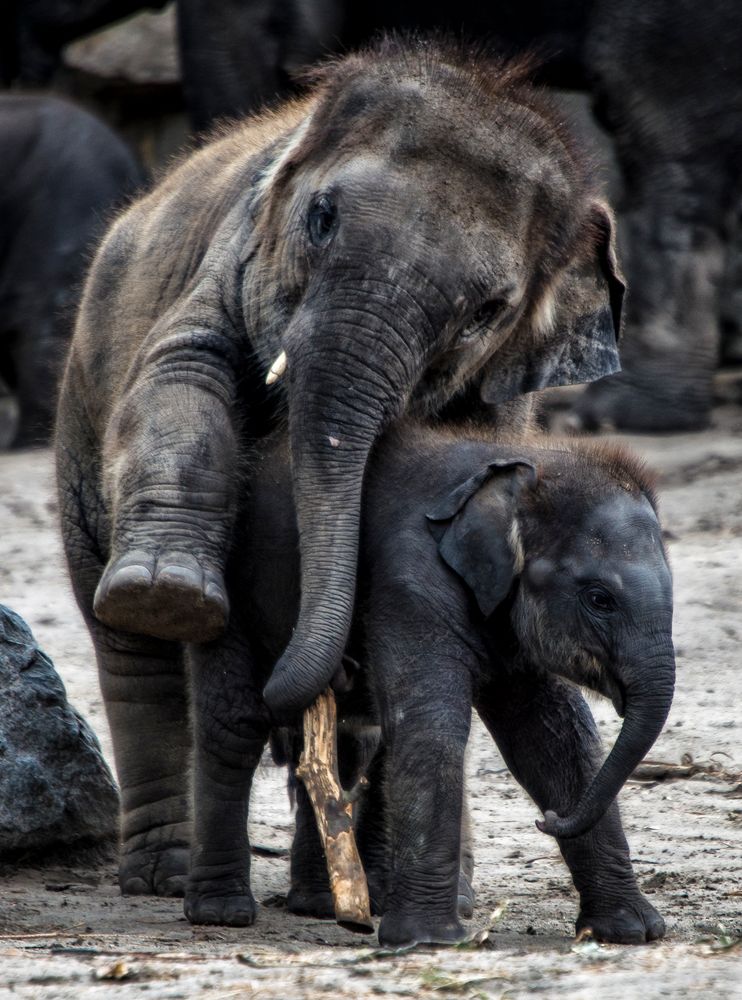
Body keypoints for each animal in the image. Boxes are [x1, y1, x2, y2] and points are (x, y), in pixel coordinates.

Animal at [241, 420, 676, 944]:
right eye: (600, 599)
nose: (546, 820)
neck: (524, 472)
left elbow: (553, 736)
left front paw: (631, 931)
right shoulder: (409, 581)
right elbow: (431, 725)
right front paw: (428, 940)